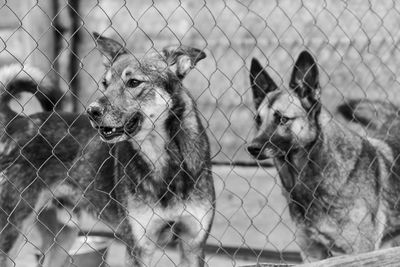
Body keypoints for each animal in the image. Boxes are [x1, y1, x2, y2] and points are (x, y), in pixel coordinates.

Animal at [0, 34, 216, 267]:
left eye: (133, 82)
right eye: (105, 83)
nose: (91, 111)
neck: (164, 161)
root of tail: (17, 121)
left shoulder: (193, 245)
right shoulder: (139, 247)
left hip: (64, 235)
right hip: (12, 229)